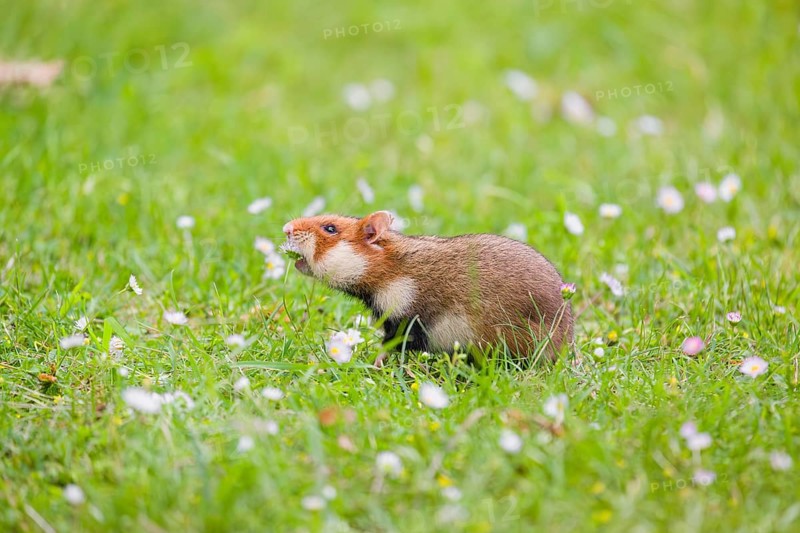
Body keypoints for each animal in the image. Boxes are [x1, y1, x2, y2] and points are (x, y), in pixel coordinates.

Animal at [282, 210, 573, 360]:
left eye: (330, 228)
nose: (286, 227)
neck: (394, 271)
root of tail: (566, 342)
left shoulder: (406, 320)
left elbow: (388, 347)